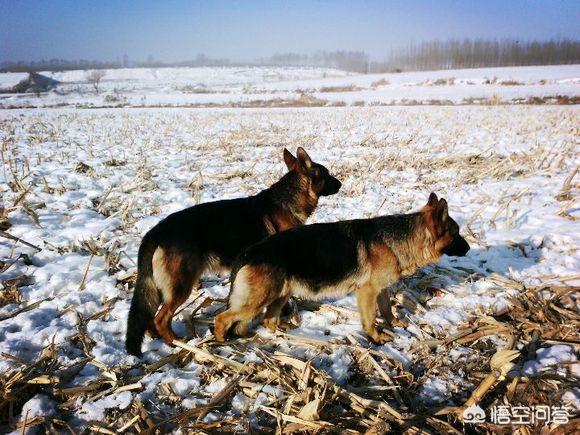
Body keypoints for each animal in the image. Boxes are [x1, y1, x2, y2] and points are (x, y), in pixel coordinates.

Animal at [125, 148, 340, 356]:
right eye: (327, 174)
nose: (340, 184)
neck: (289, 198)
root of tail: (154, 233)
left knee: (150, 316)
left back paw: (157, 338)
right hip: (180, 286)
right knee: (161, 318)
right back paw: (177, 343)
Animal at [215, 193, 468, 344]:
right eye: (456, 233)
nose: (467, 248)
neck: (402, 238)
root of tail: (247, 253)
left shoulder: (381, 289)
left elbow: (386, 309)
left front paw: (394, 323)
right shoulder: (367, 292)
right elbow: (371, 318)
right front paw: (375, 336)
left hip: (280, 294)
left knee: (269, 319)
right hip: (258, 300)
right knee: (222, 317)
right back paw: (220, 341)